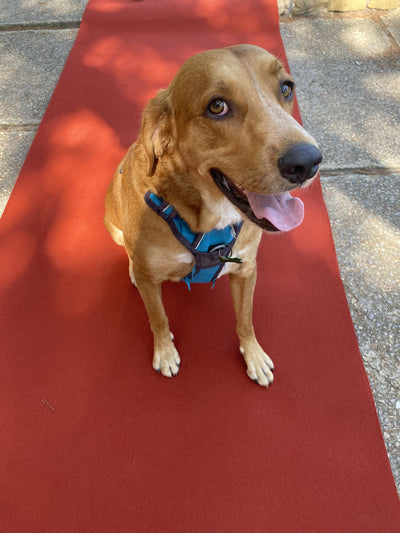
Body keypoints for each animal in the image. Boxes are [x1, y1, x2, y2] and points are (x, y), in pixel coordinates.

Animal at [104, 44, 322, 386]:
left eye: (287, 88)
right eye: (217, 106)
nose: (308, 162)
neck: (206, 219)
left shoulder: (247, 270)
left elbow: (245, 320)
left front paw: (253, 354)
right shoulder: (152, 284)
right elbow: (159, 319)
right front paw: (164, 351)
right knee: (128, 253)